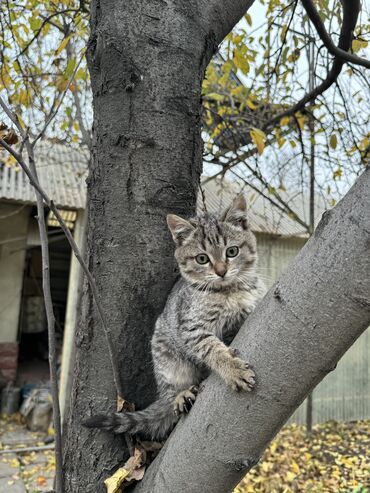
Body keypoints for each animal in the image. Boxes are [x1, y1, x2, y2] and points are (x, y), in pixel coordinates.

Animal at [83, 194, 266, 440]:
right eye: (202, 259)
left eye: (232, 252)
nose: (221, 271)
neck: (228, 291)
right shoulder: (191, 329)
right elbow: (213, 350)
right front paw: (233, 369)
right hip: (166, 356)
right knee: (169, 395)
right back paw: (180, 396)